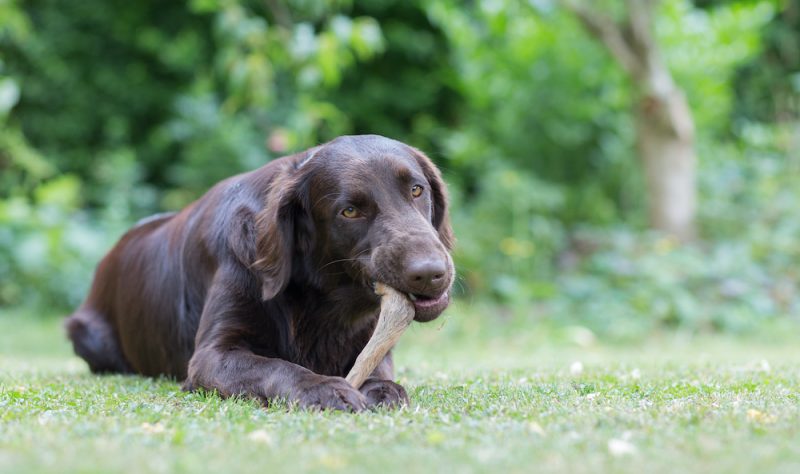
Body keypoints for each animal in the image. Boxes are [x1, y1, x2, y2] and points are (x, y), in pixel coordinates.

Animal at [65, 134, 454, 412]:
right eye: (349, 211)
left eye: (416, 190)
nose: (430, 273)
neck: (321, 300)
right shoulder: (211, 356)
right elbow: (276, 366)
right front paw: (324, 389)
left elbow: (378, 369)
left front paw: (383, 390)